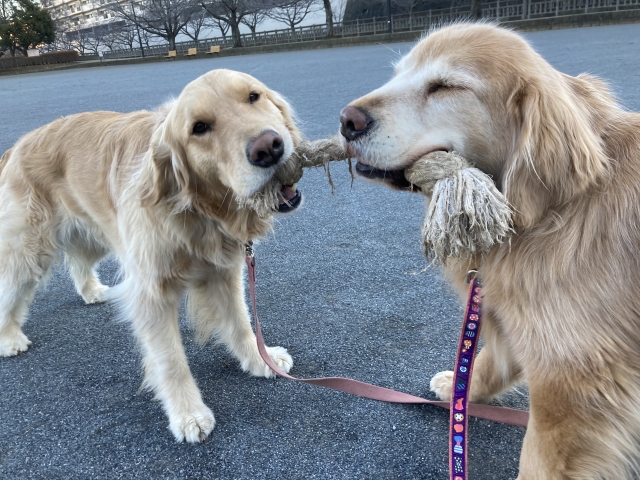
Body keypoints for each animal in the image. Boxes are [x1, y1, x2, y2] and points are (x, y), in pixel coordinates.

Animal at [0, 67, 302, 442]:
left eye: (253, 97)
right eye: (199, 127)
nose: (268, 148)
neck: (196, 209)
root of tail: (18, 145)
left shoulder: (224, 269)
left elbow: (241, 321)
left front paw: (260, 358)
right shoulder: (150, 292)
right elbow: (170, 360)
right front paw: (188, 413)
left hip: (96, 232)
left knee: (78, 260)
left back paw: (91, 291)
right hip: (29, 249)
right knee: (10, 287)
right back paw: (9, 337)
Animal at [342, 23, 640, 480]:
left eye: (445, 86)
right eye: (397, 75)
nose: (346, 120)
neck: (549, 214)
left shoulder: (572, 387)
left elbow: (538, 463)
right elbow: (484, 359)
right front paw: (458, 387)